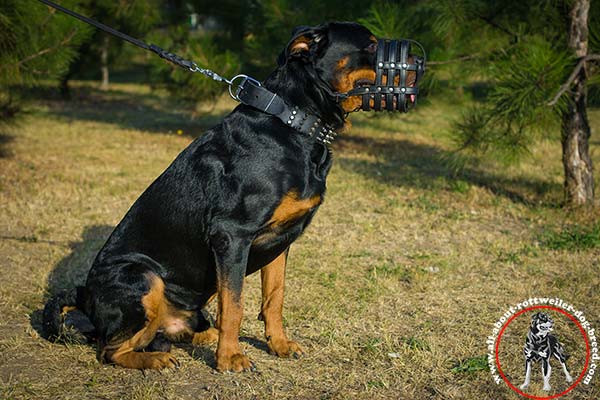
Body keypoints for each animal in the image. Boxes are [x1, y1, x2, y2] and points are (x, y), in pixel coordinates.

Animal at [42, 21, 420, 372]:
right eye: (370, 45)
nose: (418, 60)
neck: (294, 122)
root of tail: (83, 294)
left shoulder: (281, 241)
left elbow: (274, 298)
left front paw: (279, 345)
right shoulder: (232, 234)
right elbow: (234, 305)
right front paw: (230, 359)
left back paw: (199, 335)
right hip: (142, 276)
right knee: (109, 349)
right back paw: (157, 359)